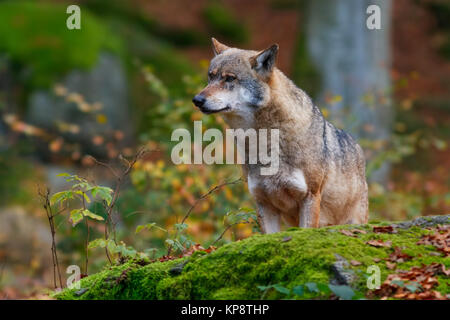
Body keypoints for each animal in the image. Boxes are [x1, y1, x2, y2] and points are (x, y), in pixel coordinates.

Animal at [192, 38, 368, 232]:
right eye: (211, 77)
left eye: (229, 78)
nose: (197, 100)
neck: (265, 141)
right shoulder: (263, 202)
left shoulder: (310, 196)